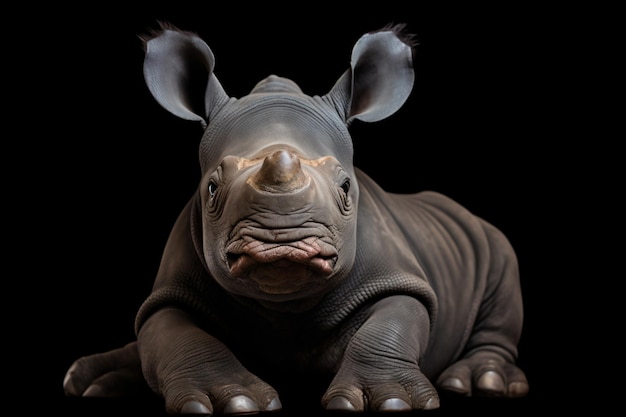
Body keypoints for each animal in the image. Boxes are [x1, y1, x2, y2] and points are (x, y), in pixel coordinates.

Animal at [62, 22, 528, 412]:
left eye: (346, 188)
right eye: (211, 189)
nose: (282, 240)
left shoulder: (396, 273)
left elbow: (393, 320)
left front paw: (392, 400)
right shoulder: (173, 284)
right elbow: (172, 331)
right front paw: (234, 402)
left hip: (486, 237)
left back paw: (481, 381)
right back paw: (90, 382)